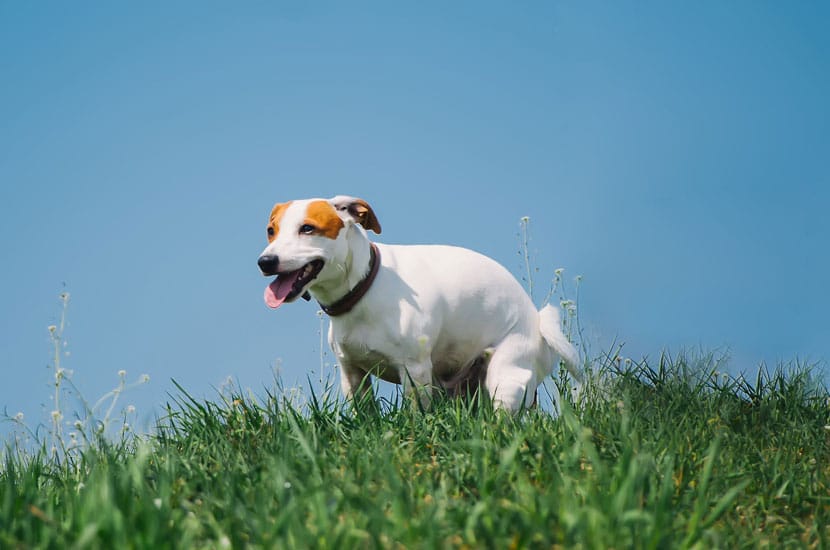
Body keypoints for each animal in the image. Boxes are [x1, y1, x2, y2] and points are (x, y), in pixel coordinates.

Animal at [256, 196, 580, 412]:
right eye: (271, 231)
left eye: (308, 229)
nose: (265, 261)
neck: (365, 286)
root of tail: (538, 322)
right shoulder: (352, 372)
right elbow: (364, 414)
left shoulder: (415, 371)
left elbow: (415, 413)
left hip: (507, 378)